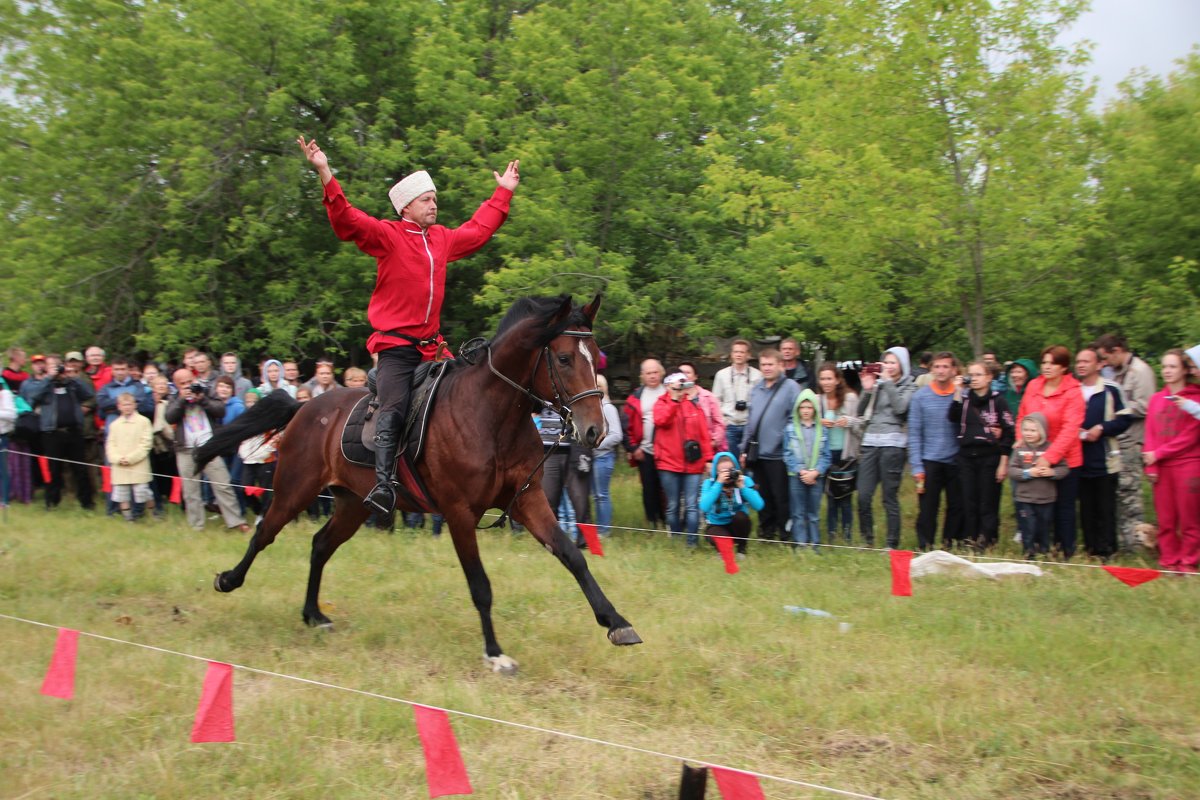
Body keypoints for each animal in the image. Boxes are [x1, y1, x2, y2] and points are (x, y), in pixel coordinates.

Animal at [196, 293, 643, 671]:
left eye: (595, 358)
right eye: (564, 359)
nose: (595, 431)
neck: (491, 414)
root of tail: (305, 406)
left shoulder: (528, 500)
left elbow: (572, 555)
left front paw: (616, 622)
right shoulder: (460, 513)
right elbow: (480, 585)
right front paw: (495, 654)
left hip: (352, 504)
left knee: (320, 545)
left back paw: (314, 614)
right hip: (295, 489)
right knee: (264, 533)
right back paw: (228, 580)